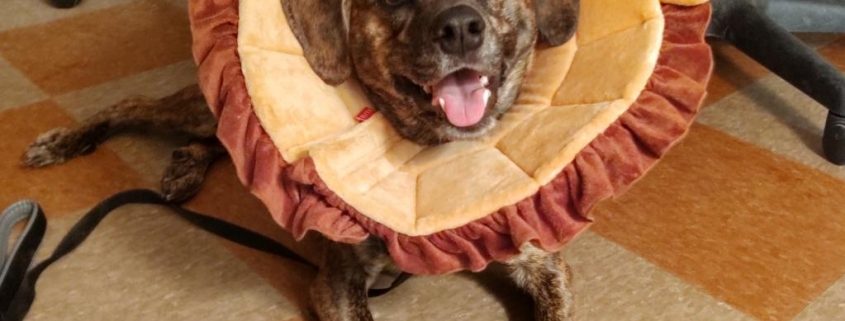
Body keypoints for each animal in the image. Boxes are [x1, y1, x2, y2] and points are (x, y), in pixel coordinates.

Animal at [24, 1, 580, 318]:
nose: (461, 27)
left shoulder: (545, 263)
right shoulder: (337, 283)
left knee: (231, 138)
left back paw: (184, 168)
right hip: (193, 110)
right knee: (135, 103)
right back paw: (61, 143)